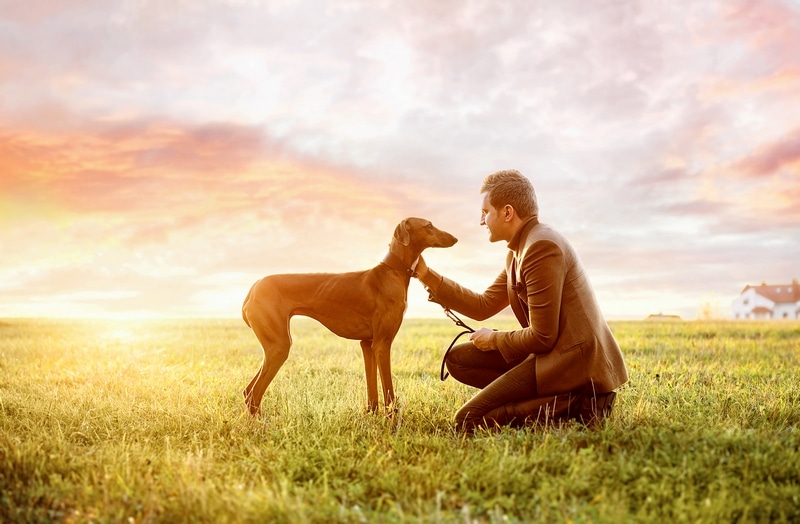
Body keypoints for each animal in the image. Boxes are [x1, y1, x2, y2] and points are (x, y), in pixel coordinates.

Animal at [241, 216, 456, 414]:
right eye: (429, 225)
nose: (455, 238)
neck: (392, 271)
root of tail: (254, 288)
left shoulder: (368, 345)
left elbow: (372, 394)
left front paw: (372, 418)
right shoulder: (382, 344)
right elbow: (389, 394)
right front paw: (393, 422)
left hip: (275, 347)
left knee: (248, 391)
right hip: (279, 347)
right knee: (254, 395)